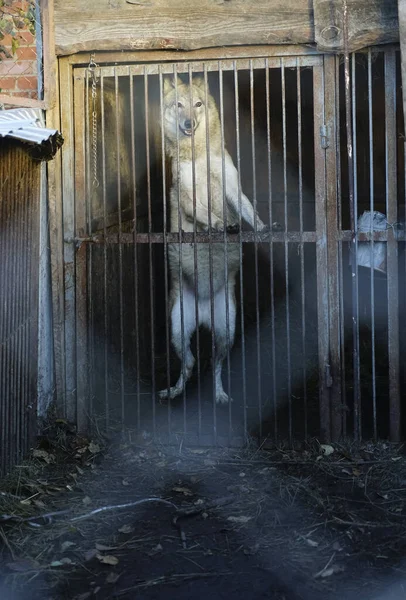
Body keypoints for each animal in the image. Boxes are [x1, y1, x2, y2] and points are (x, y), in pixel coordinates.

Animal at [159, 74, 270, 404]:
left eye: (197, 104)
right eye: (178, 105)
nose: (188, 124)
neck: (197, 154)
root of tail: (203, 312)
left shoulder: (232, 186)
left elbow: (248, 210)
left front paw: (260, 227)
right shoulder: (187, 196)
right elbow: (206, 214)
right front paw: (222, 224)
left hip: (226, 332)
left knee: (214, 364)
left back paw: (220, 396)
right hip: (177, 329)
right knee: (191, 363)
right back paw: (173, 392)